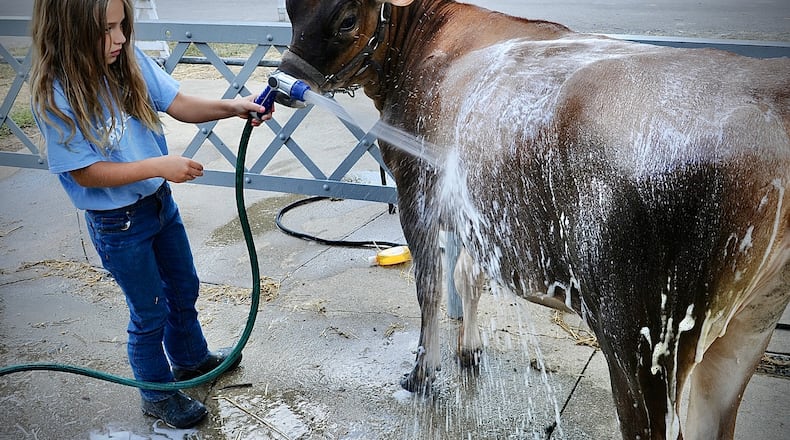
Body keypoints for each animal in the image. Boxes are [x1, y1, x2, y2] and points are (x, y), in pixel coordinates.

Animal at [274, 0, 790, 438]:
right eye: (290, 7)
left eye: (346, 20)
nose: (282, 85)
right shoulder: (479, 210)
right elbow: (468, 275)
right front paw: (469, 350)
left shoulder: (416, 189)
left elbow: (430, 286)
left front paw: (422, 374)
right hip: (748, 326)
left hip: (641, 345)